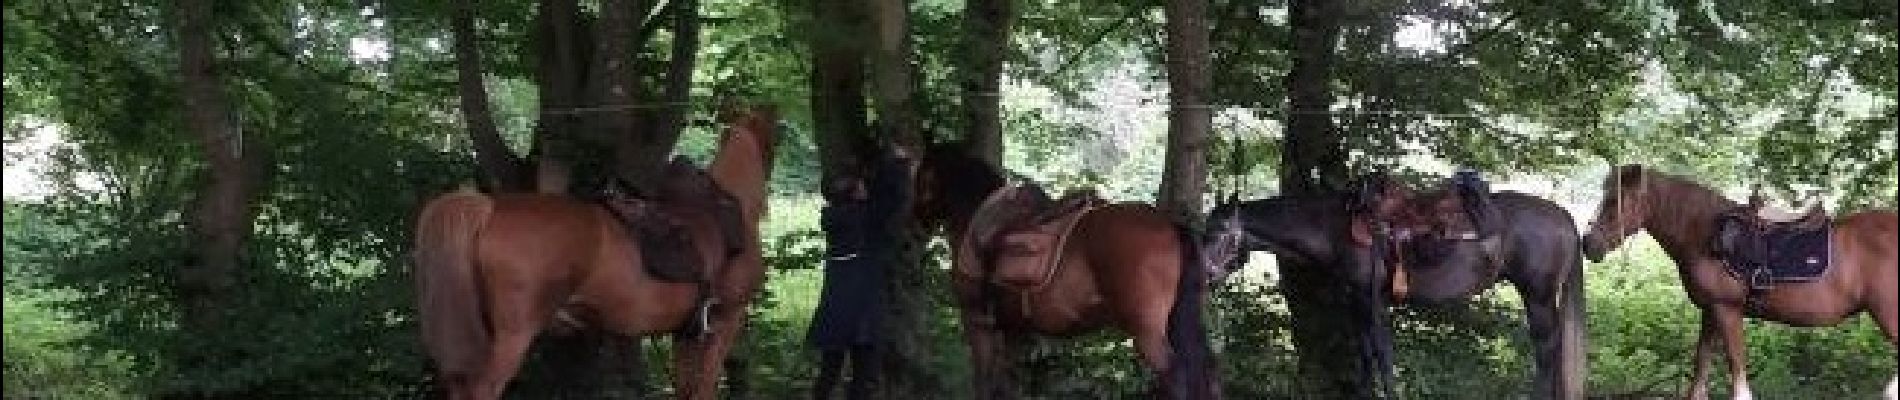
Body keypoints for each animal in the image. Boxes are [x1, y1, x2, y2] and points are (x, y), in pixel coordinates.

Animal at [412, 104, 775, 398]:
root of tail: (488, 210)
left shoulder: (687, 333)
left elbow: (687, 388)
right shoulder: (725, 322)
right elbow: (704, 388)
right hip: (511, 338)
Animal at [908, 145, 1216, 400]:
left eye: (921, 175)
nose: (915, 222)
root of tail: (1170, 226)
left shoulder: (977, 324)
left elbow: (985, 383)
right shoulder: (1012, 330)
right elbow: (1008, 384)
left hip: (1146, 331)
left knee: (1175, 376)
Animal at [1200, 172, 1588, 400]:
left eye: (1218, 233)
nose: (1205, 275)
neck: (1333, 228)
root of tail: (1565, 217)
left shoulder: (1370, 299)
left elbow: (1380, 355)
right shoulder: (1356, 301)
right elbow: (1366, 354)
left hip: (1537, 297)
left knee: (1547, 350)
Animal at [1580, 163, 1892, 400]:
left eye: (1615, 201)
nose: (1588, 243)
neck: (1704, 234)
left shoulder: (1727, 309)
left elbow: (1736, 369)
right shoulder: (1710, 311)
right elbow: (1700, 370)